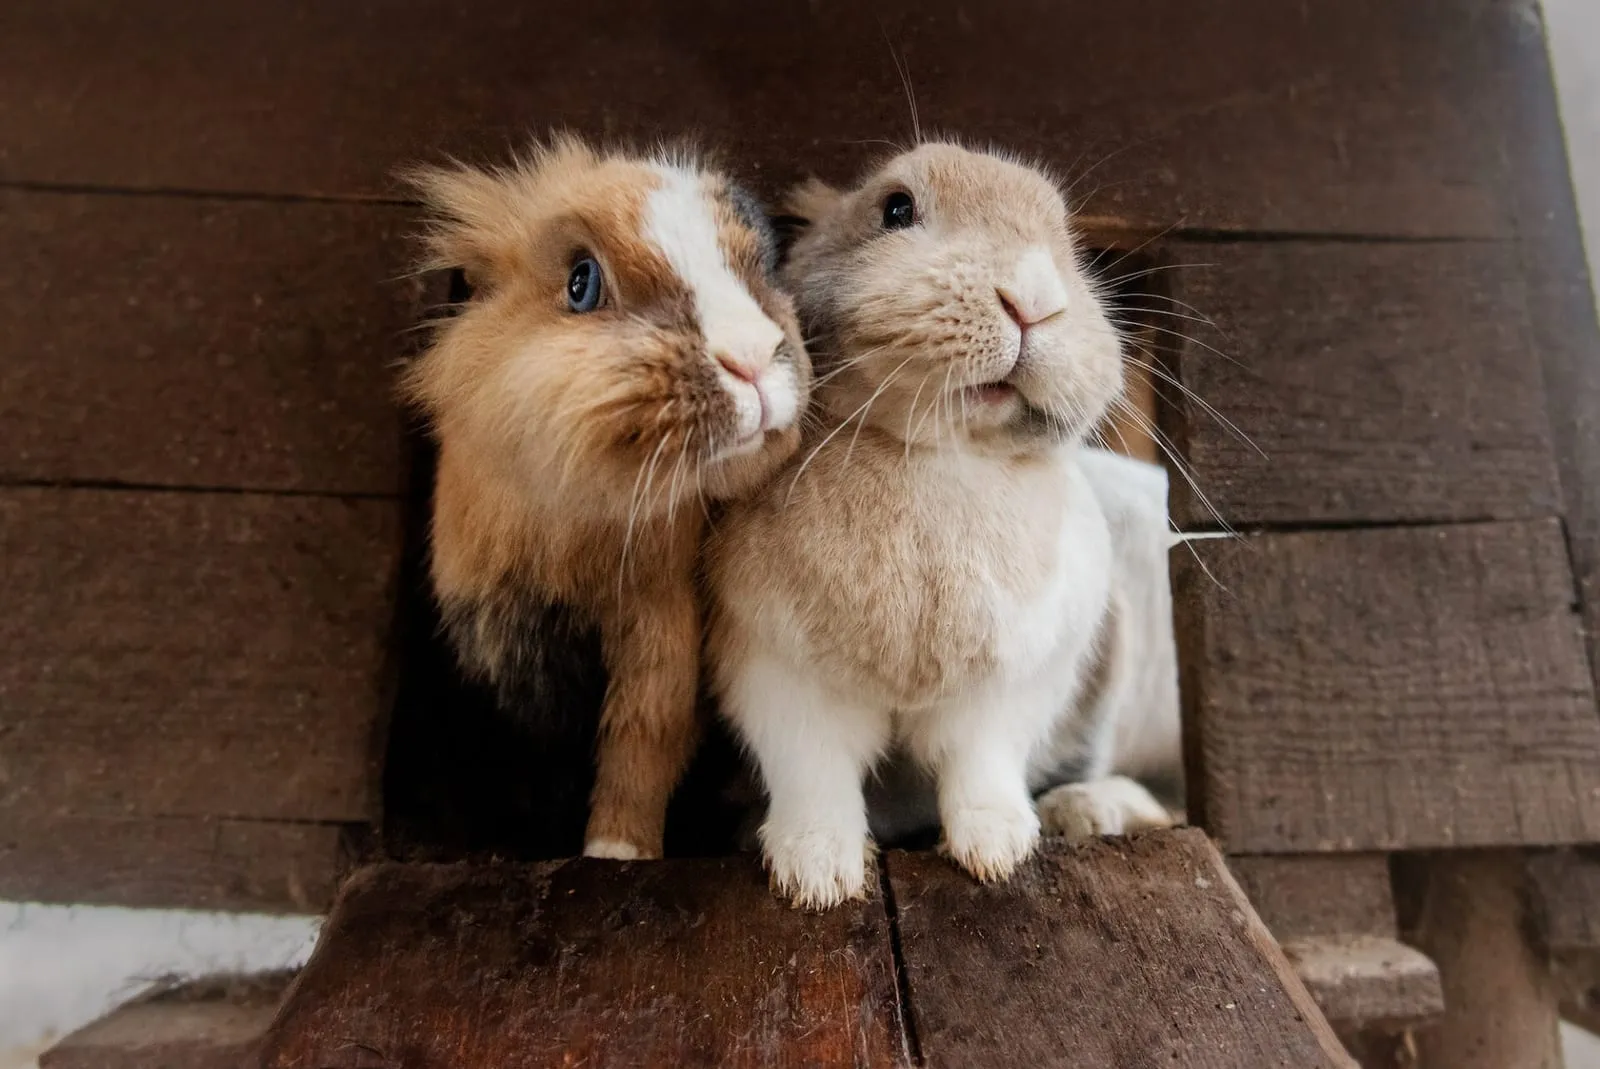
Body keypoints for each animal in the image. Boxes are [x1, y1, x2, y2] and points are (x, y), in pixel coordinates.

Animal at [402, 136, 809, 861]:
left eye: (760, 267)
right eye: (582, 282)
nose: (753, 358)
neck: (580, 529)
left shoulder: (662, 642)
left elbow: (641, 747)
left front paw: (616, 853)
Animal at [705, 141, 1173, 909]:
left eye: (1069, 246)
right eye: (896, 209)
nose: (1033, 298)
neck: (934, 453)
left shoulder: (1007, 687)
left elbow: (980, 764)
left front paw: (997, 851)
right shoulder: (774, 671)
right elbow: (812, 772)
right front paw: (817, 874)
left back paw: (1091, 809)